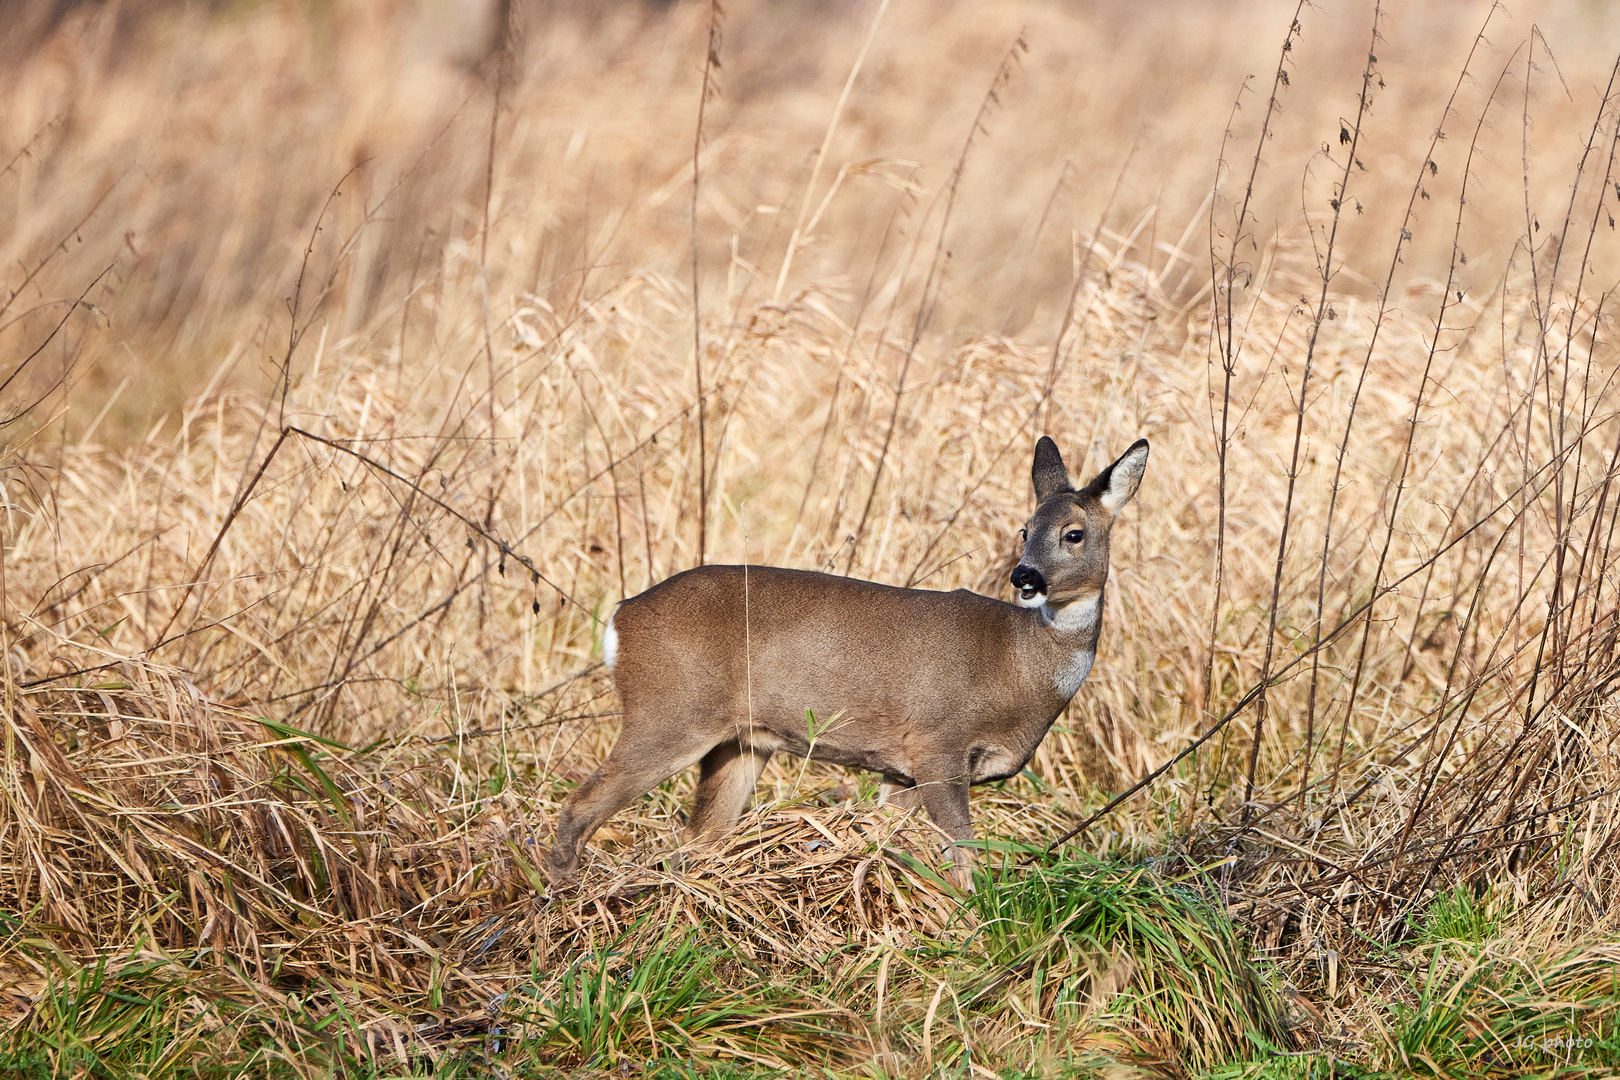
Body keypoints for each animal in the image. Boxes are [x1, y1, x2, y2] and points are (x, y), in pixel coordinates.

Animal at [547, 433, 1153, 893]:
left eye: (1073, 533)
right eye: (1025, 530)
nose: (1025, 577)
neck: (1018, 663)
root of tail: (620, 618)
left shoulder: (899, 767)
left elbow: (888, 839)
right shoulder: (938, 740)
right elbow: (961, 850)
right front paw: (973, 924)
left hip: (739, 743)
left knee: (695, 839)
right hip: (670, 710)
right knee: (579, 807)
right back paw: (563, 902)